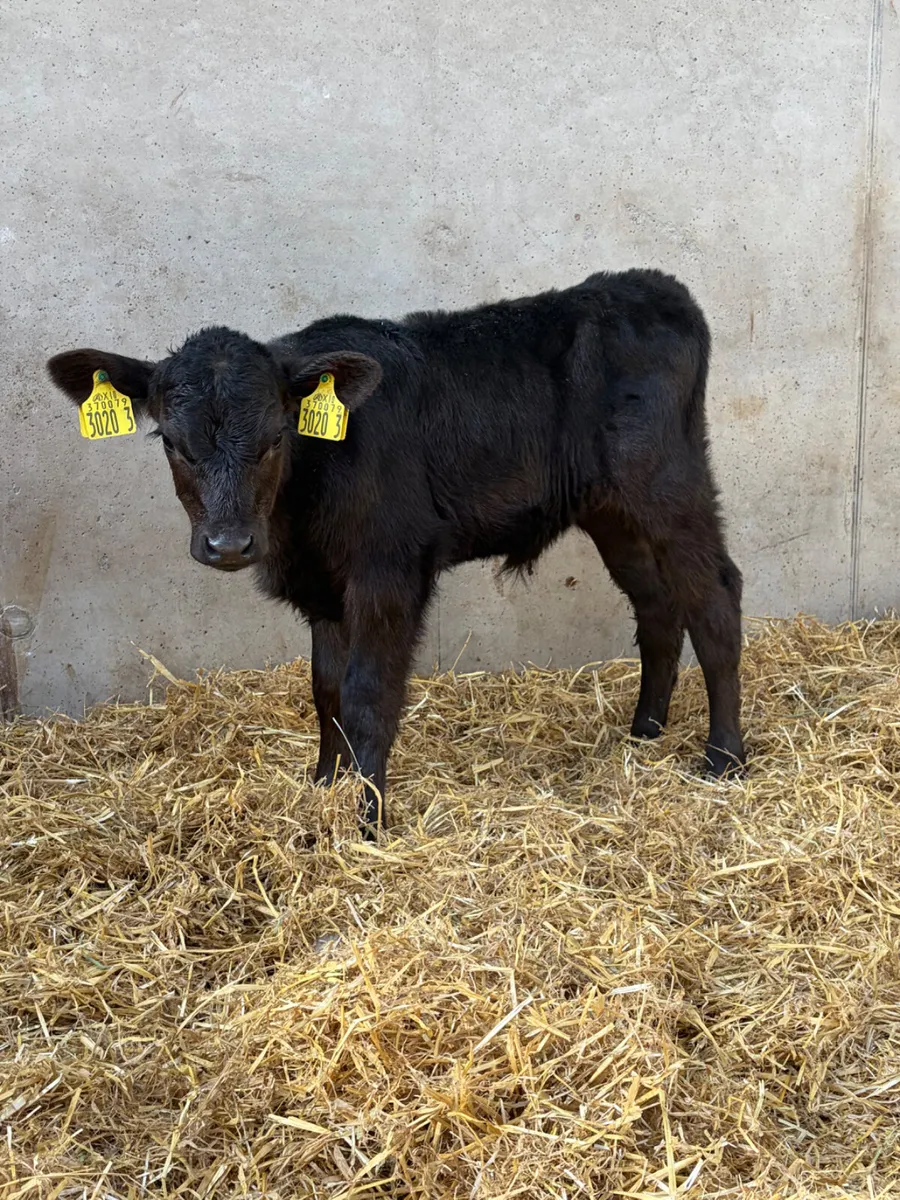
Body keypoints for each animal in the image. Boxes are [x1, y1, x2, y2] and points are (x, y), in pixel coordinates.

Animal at [48, 268, 746, 835]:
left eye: (275, 437)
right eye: (171, 441)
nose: (228, 544)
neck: (303, 505)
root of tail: (654, 286)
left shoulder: (389, 572)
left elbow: (367, 695)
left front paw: (368, 821)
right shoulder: (323, 587)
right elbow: (325, 691)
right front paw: (324, 787)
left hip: (669, 485)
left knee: (715, 599)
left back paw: (725, 758)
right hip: (612, 512)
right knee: (657, 607)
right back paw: (643, 735)